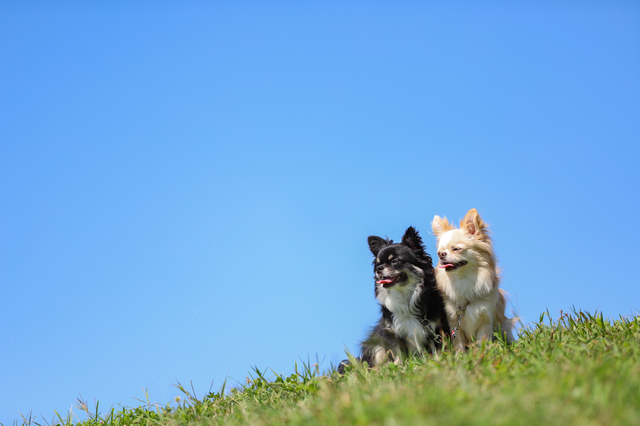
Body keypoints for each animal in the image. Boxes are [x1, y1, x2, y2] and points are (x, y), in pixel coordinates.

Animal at [340, 228, 450, 372]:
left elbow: (437, 349)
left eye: (395, 261)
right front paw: (398, 368)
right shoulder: (391, 332)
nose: (379, 269)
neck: (405, 295)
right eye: (378, 264)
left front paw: (438, 362)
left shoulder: (436, 328)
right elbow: (397, 352)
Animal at [430, 208, 516, 352]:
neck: (465, 278)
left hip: (505, 327)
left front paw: (481, 354)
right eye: (439, 253)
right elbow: (459, 344)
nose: (442, 255)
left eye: (456, 249)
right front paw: (460, 356)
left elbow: (482, 341)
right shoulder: (454, 322)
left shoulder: (485, 322)